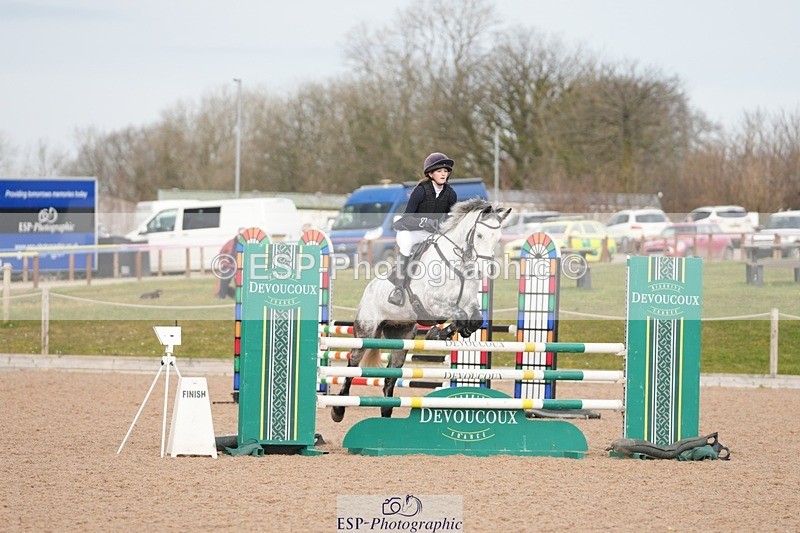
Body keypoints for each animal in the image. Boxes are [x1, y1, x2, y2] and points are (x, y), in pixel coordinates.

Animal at [330, 198, 511, 422]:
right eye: (479, 235)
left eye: (497, 238)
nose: (483, 271)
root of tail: (368, 290)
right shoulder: (431, 303)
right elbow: (458, 315)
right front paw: (438, 333)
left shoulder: (469, 304)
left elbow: (475, 320)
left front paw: (446, 333)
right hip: (366, 332)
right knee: (352, 364)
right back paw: (338, 409)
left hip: (402, 335)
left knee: (391, 375)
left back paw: (386, 412)